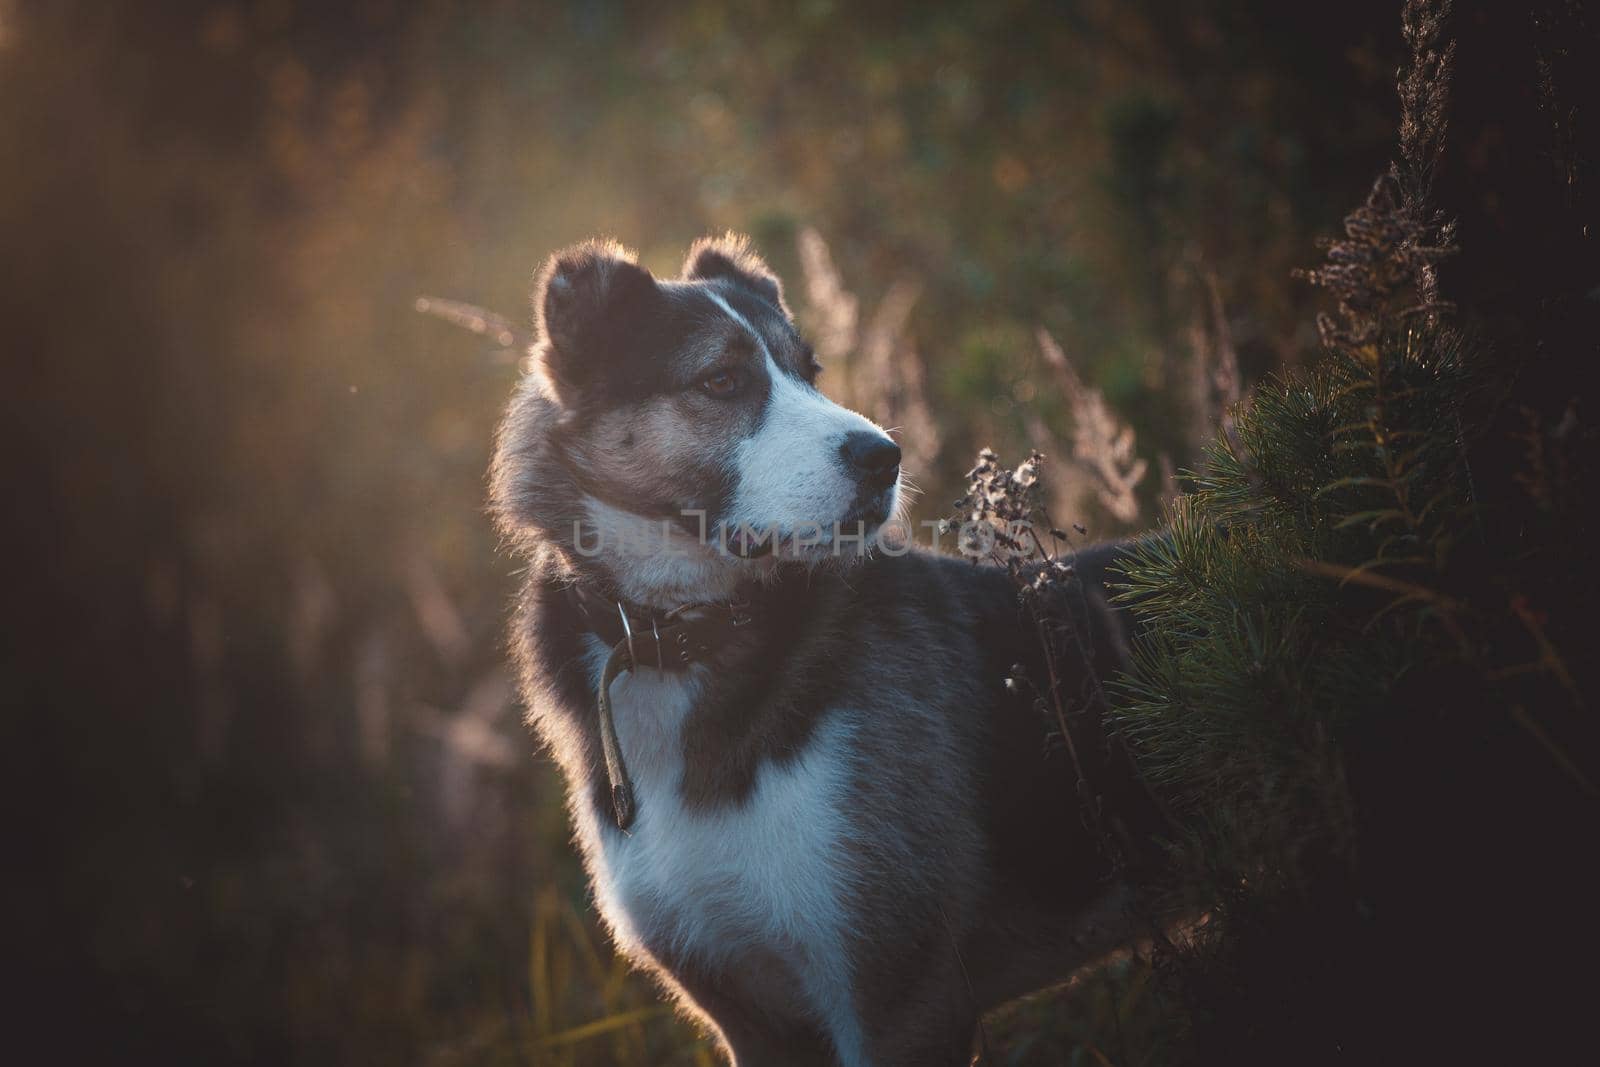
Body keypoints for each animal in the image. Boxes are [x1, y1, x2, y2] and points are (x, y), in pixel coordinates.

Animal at [483, 238, 1152, 1062]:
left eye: (813, 371)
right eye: (721, 378)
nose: (886, 457)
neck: (676, 637)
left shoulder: (899, 997)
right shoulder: (749, 1016)